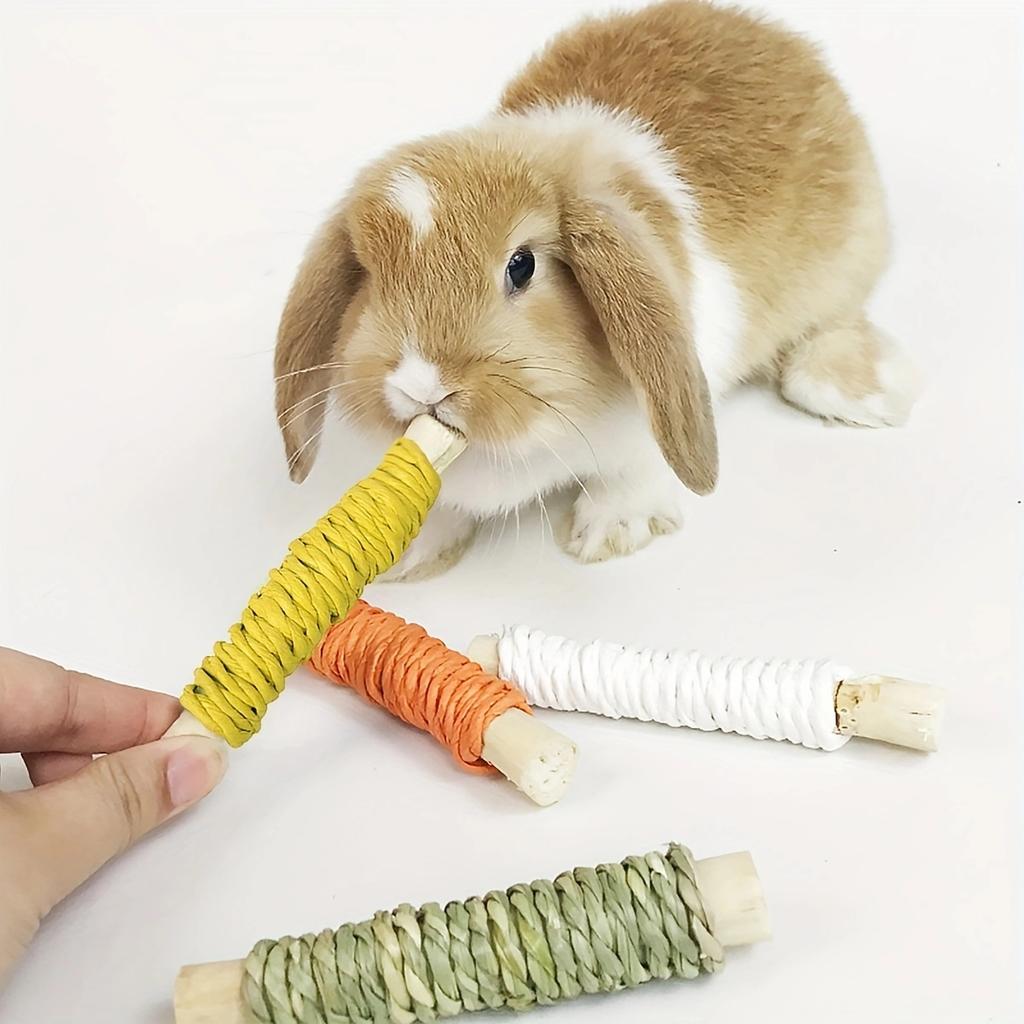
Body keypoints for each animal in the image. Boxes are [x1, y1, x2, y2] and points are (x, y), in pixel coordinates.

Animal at [274, 0, 920, 580]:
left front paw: (609, 532)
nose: (422, 384)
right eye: (368, 275)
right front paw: (414, 551)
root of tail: (777, 35)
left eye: (522, 266)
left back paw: (879, 392)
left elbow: (635, 471)